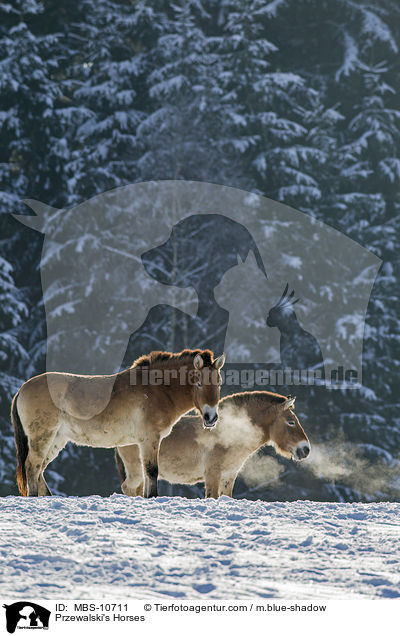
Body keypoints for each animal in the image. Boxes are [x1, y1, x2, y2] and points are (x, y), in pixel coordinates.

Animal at [10, 348, 225, 496]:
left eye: (219, 383)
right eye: (199, 382)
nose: (211, 417)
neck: (156, 389)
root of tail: (22, 389)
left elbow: (146, 475)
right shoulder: (150, 439)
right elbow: (152, 472)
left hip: (56, 439)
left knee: (39, 470)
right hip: (42, 437)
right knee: (32, 467)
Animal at [114, 390, 310, 500]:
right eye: (291, 422)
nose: (306, 449)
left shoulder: (228, 476)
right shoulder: (212, 474)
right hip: (136, 471)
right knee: (128, 488)